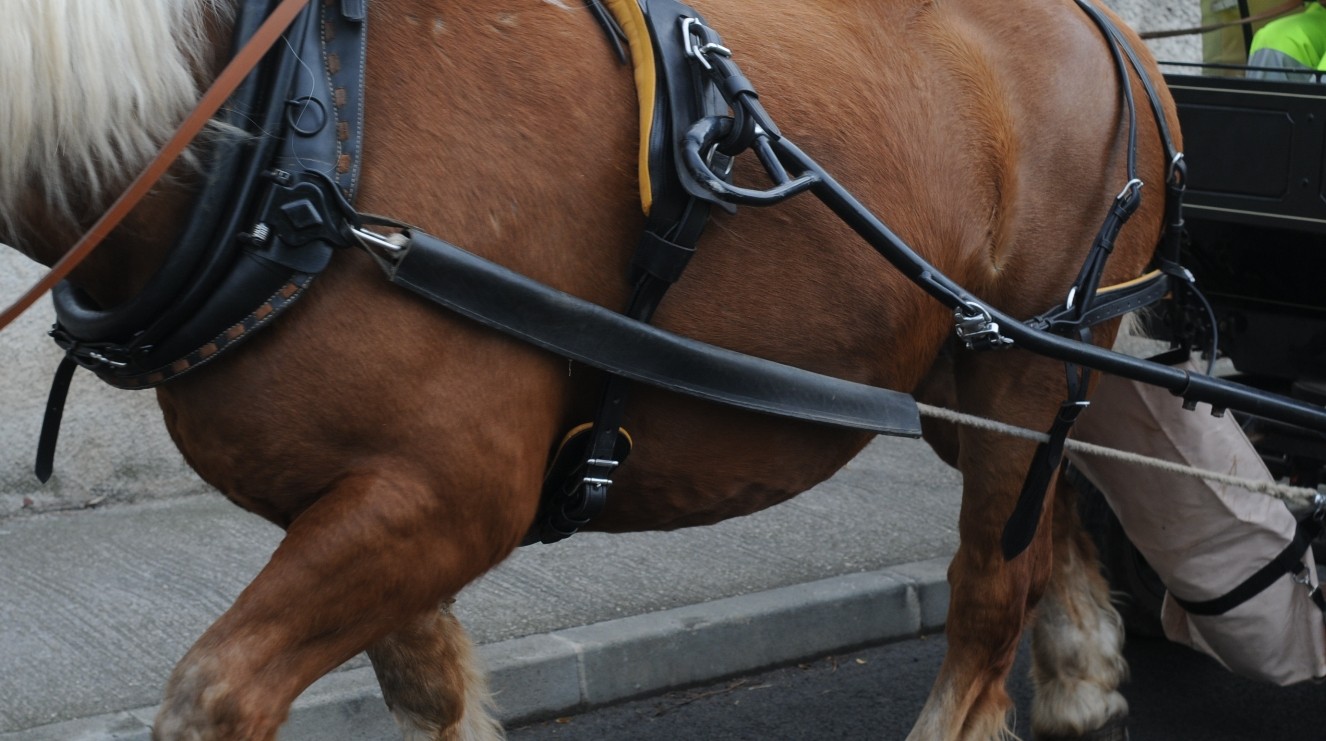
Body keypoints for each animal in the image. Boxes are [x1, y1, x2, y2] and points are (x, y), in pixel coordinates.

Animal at [0, 0, 1177, 738]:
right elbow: (427, 692)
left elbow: (213, 694)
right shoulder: (366, 503)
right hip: (968, 378)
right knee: (1050, 510)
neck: (298, 139)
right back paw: (1082, 680)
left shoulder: (446, 496)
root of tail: (1116, 31)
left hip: (1024, 361)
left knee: (987, 593)